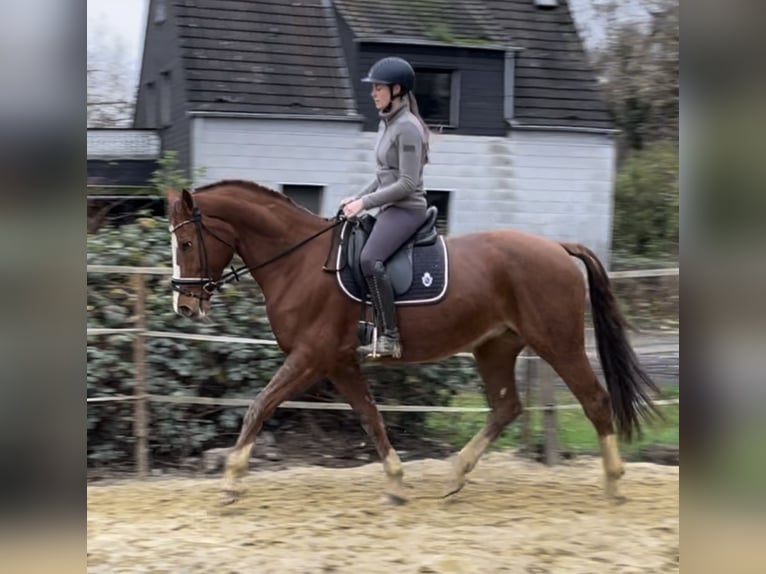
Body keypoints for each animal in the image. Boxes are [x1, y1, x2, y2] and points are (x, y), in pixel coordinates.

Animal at [166, 181, 660, 508]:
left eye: (187, 243)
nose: (185, 305)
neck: (298, 262)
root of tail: (557, 247)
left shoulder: (310, 357)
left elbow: (260, 405)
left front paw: (232, 480)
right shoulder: (339, 363)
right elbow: (370, 418)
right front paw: (397, 482)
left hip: (558, 343)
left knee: (594, 400)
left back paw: (614, 482)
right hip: (495, 347)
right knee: (507, 406)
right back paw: (455, 476)